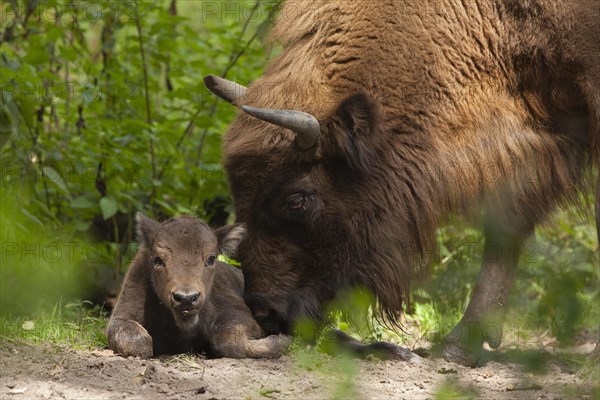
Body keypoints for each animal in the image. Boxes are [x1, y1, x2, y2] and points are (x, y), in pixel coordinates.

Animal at [106, 214, 290, 358]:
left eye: (211, 258)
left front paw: (282, 340)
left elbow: (226, 335)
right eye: (158, 259)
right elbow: (137, 343)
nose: (186, 298)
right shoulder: (122, 313)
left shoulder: (240, 313)